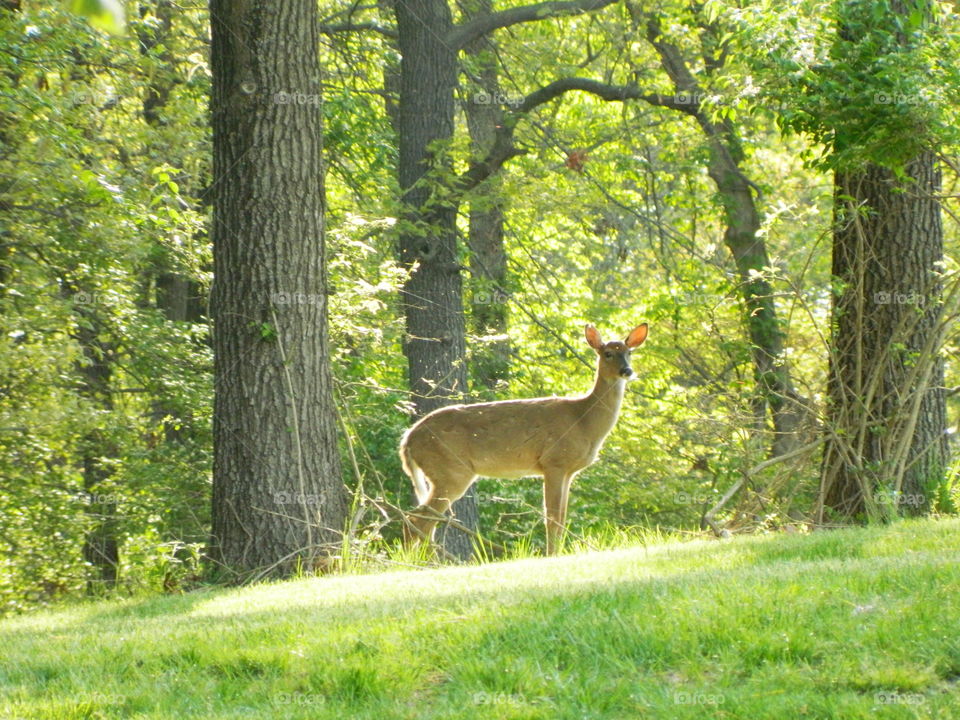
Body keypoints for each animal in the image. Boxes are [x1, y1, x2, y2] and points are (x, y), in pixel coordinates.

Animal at [400, 322, 648, 555]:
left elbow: (562, 517)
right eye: (607, 353)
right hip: (450, 470)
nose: (627, 370)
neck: (583, 420)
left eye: (629, 352)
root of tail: (407, 440)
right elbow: (552, 518)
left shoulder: (569, 471)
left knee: (424, 520)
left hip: (441, 473)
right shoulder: (554, 461)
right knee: (418, 520)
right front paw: (552, 554)